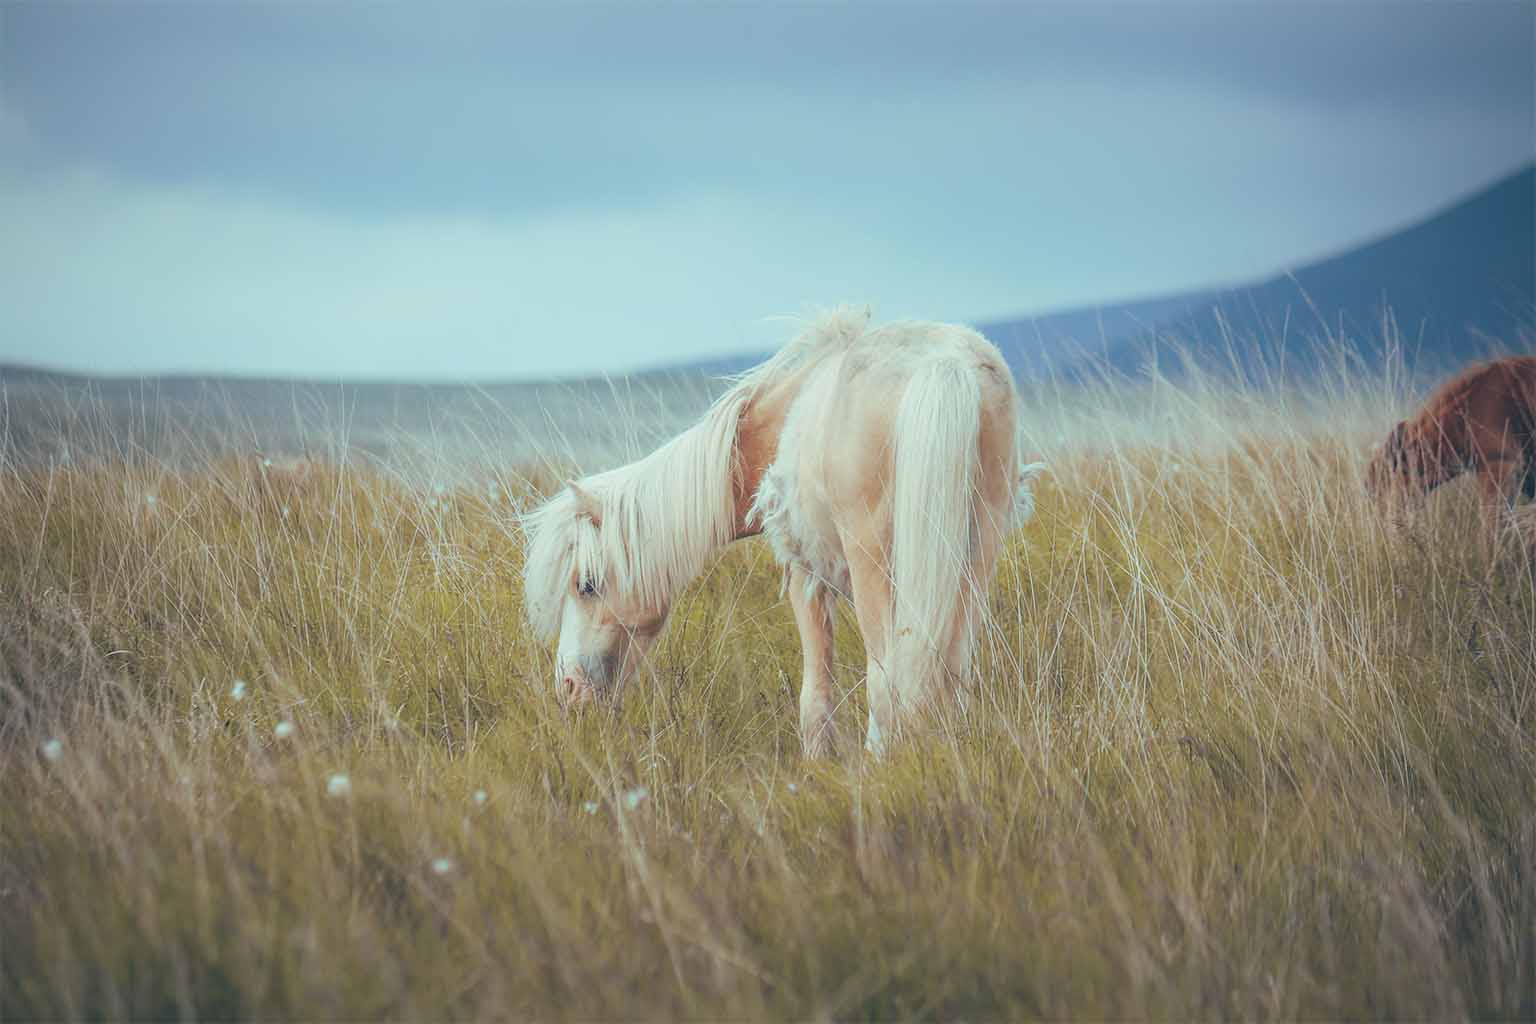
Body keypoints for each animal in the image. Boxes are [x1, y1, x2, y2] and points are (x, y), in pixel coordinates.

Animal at [520, 309, 1044, 756]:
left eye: (586, 585)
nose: (568, 687)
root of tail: (944, 364)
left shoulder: (804, 573)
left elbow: (815, 700)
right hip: (976, 555)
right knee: (952, 672)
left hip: (875, 566)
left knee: (889, 679)